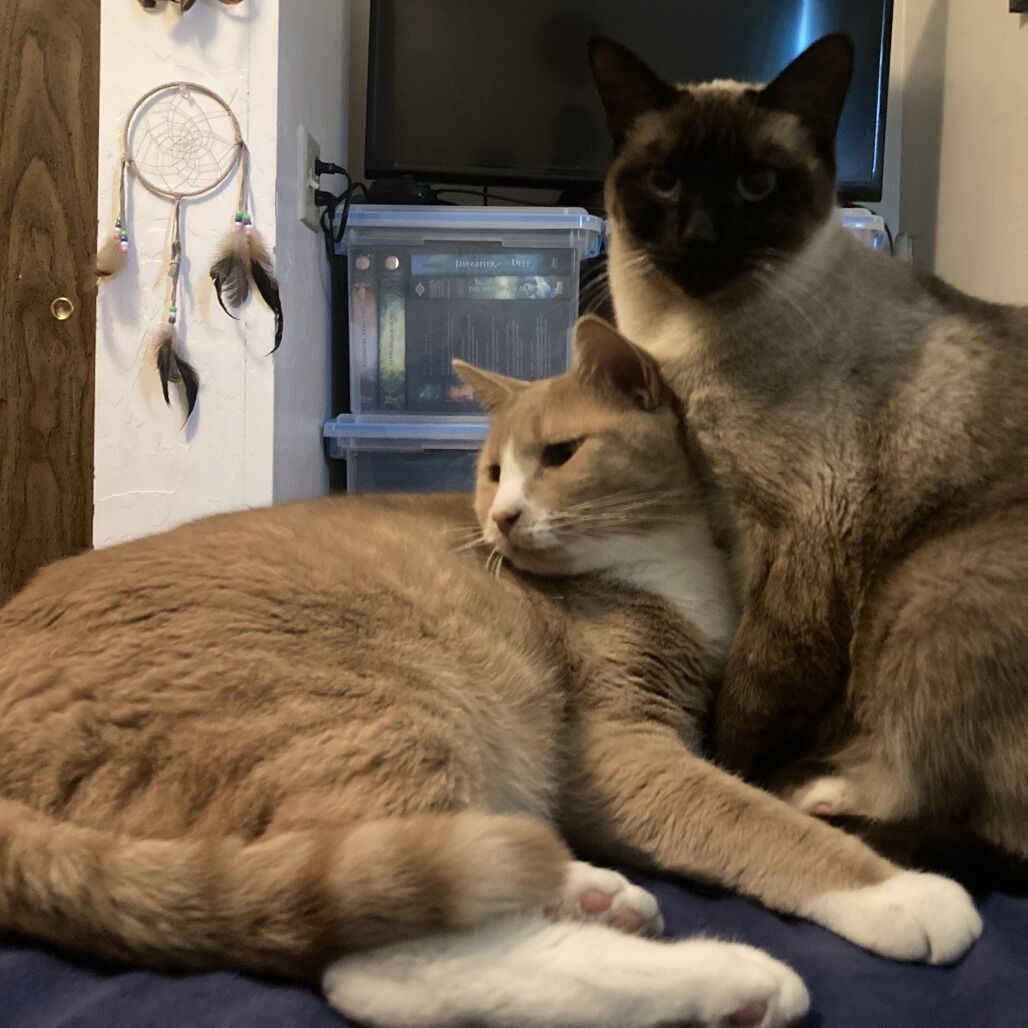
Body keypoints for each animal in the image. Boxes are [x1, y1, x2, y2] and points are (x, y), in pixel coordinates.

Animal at [0, 317, 980, 1028]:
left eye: (559, 456)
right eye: (490, 471)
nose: (503, 518)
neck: (664, 567)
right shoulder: (620, 751)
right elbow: (749, 818)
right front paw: (897, 890)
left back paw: (591, 893)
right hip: (381, 705)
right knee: (385, 960)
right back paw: (730, 981)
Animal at [590, 32, 1028, 871]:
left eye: (757, 186)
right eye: (664, 182)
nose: (700, 242)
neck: (688, 338)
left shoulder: (799, 540)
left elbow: (748, 697)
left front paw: (730, 776)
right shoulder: (722, 526)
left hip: (933, 582)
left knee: (960, 813)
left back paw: (815, 795)